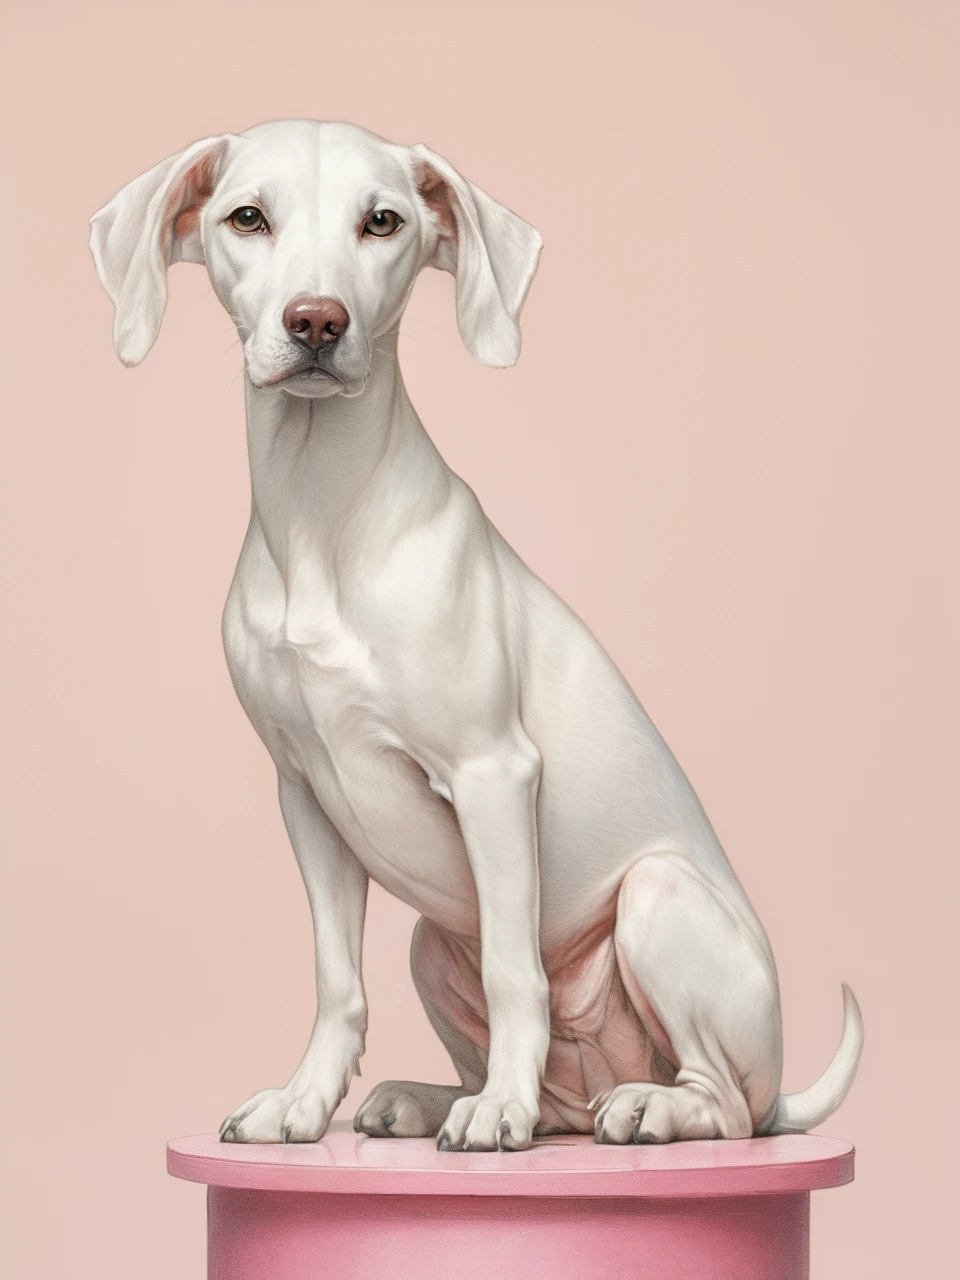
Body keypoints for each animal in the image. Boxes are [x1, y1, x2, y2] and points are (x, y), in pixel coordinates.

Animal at [90, 120, 865, 1157]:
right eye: (247, 217)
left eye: (382, 222)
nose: (317, 323)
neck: (322, 515)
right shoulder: (305, 796)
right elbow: (337, 979)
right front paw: (303, 1103)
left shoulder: (494, 775)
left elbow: (513, 971)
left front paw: (496, 1112)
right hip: (431, 945)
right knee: (559, 1093)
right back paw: (433, 1099)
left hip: (656, 899)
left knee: (728, 1110)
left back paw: (630, 1107)